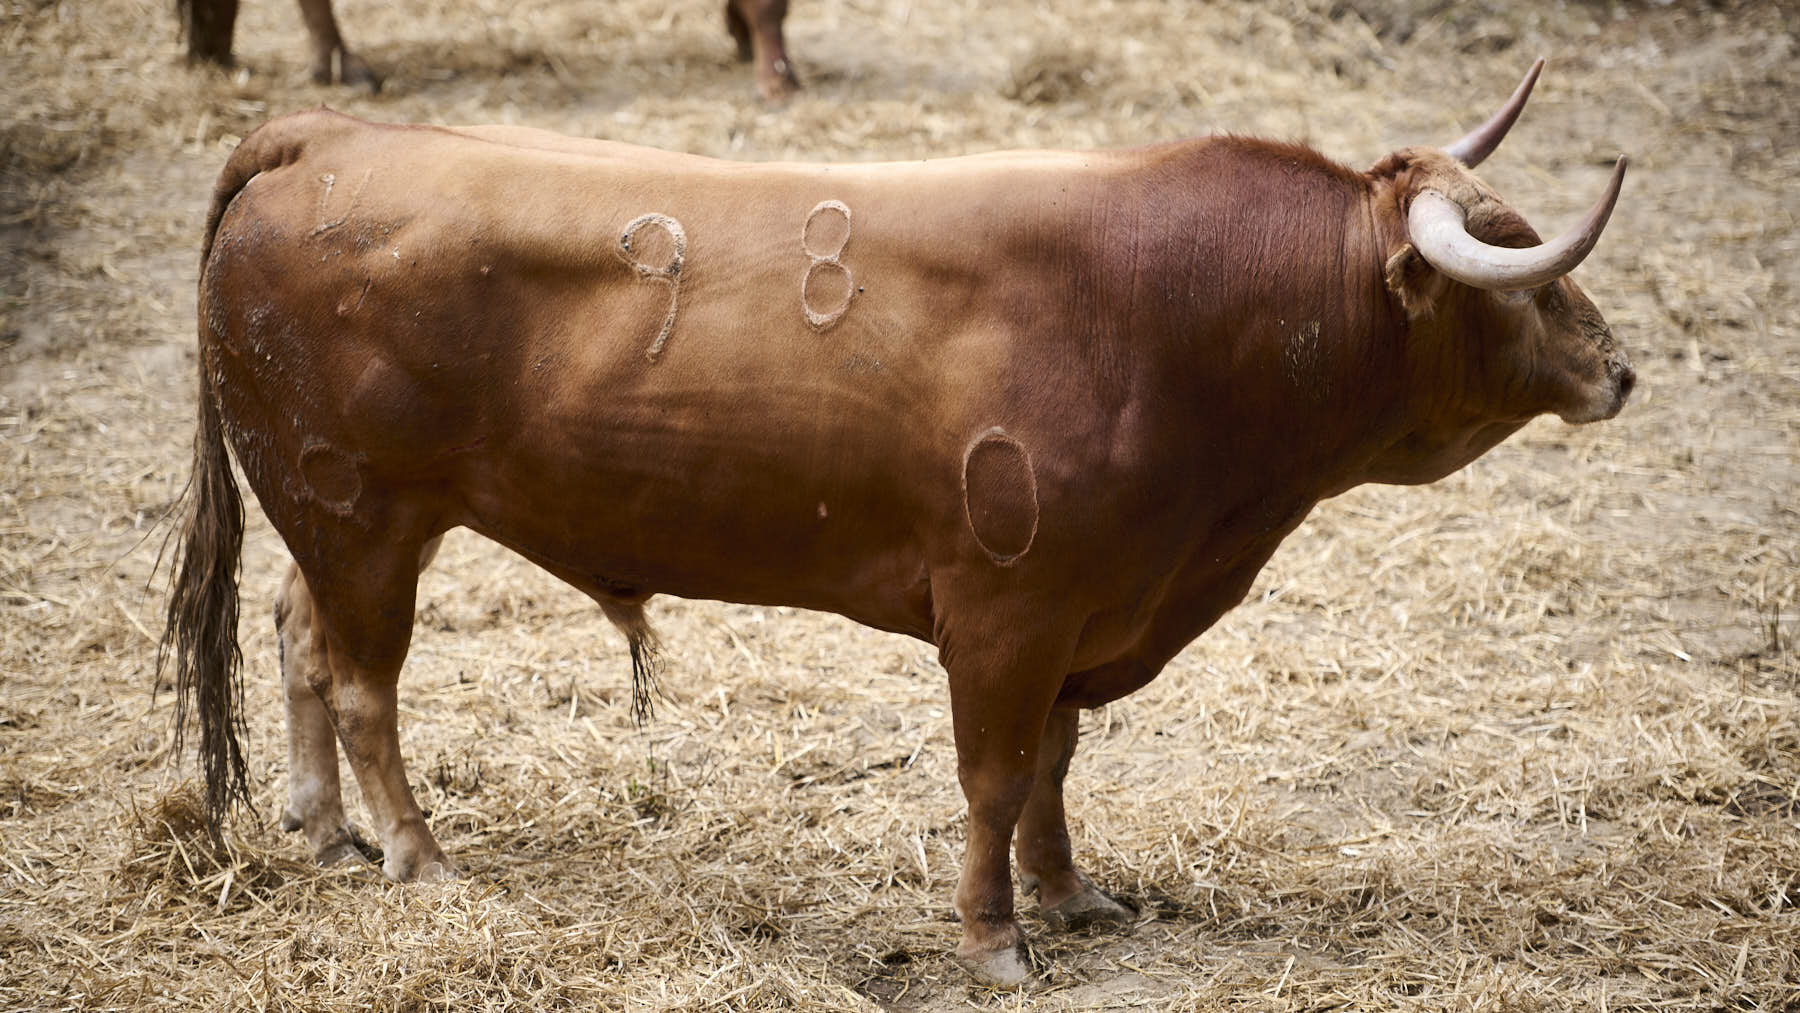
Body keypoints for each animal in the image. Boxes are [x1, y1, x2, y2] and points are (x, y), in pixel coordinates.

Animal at [165, 61, 1634, 986]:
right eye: (1516, 266)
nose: (1620, 369)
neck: (1180, 317)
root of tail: (325, 139)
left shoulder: (1081, 617)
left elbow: (1053, 770)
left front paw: (1071, 894)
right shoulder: (1005, 617)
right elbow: (993, 779)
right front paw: (995, 941)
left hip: (344, 524)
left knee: (301, 639)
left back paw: (324, 828)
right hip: (360, 515)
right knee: (363, 682)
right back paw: (416, 857)